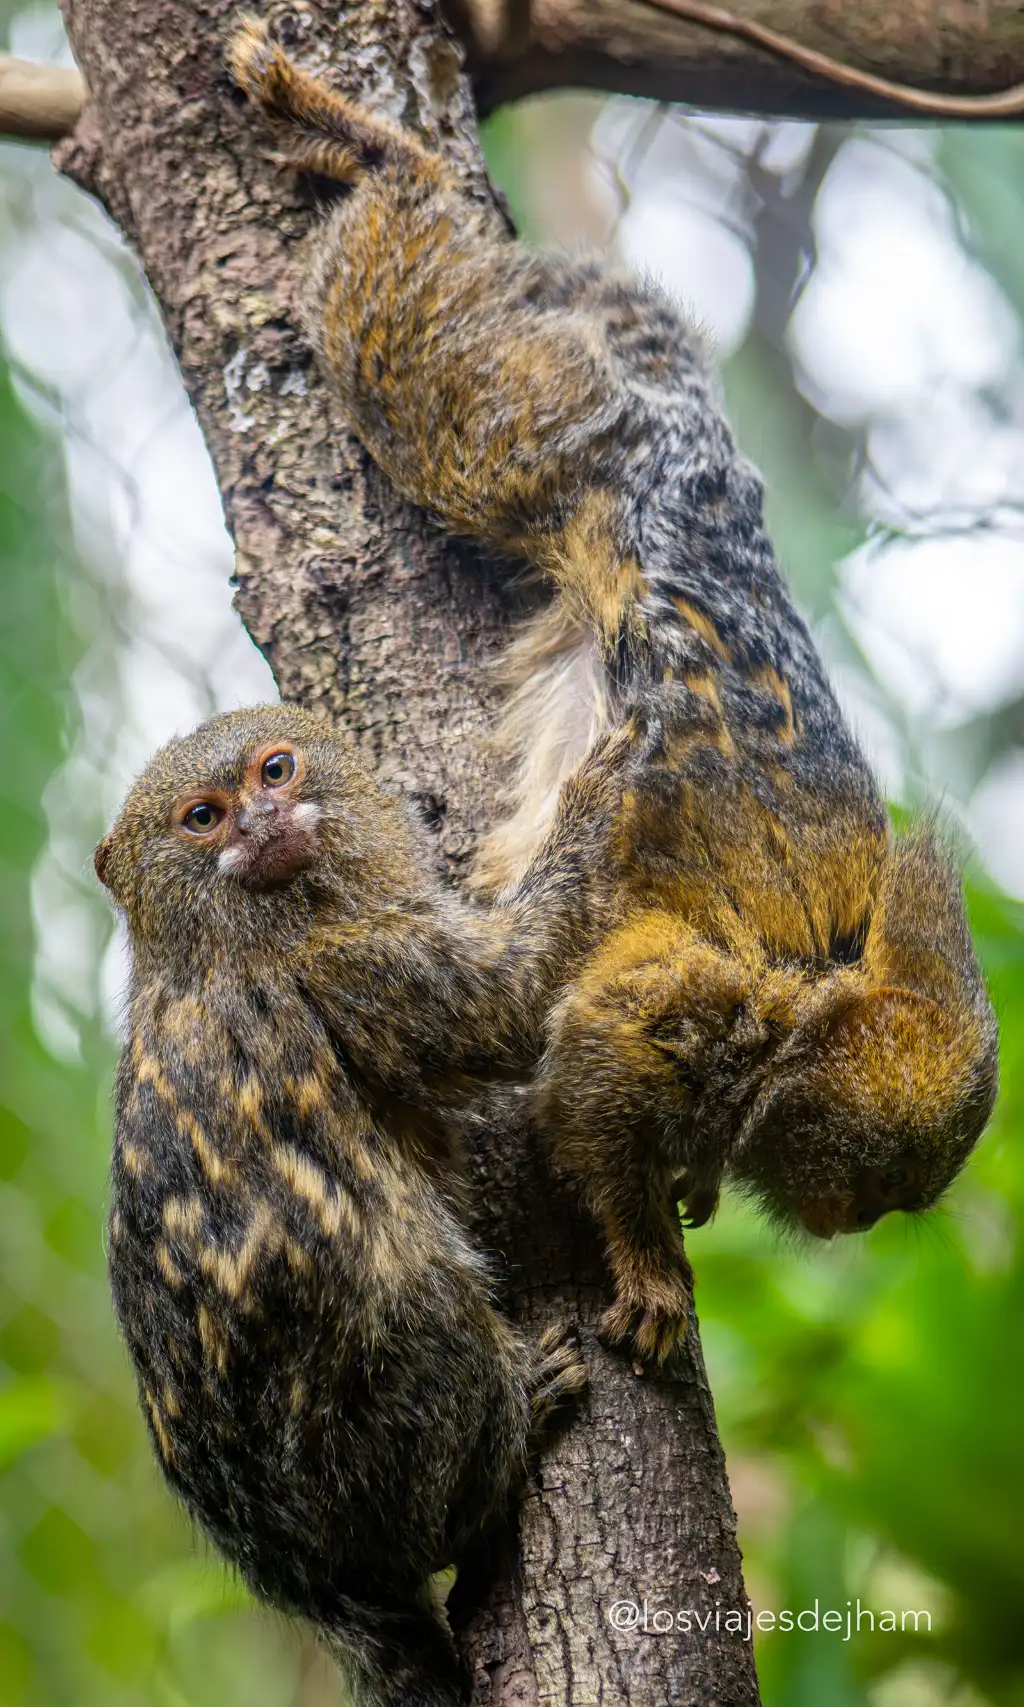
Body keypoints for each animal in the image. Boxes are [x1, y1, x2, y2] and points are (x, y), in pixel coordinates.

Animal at [97, 703, 642, 1707]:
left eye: (276, 770)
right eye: (203, 818)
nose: (258, 822)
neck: (233, 935)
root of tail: (309, 1578)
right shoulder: (353, 966)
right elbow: (512, 999)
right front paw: (595, 796)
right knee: (413, 1292)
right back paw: (507, 1433)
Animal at [227, 22, 999, 1365]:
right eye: (875, 1182)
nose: (851, 1222)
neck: (823, 980)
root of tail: (695, 460)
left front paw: (688, 1189)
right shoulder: (704, 995)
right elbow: (582, 1071)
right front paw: (642, 1266)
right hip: (547, 433)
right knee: (422, 374)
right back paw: (375, 154)